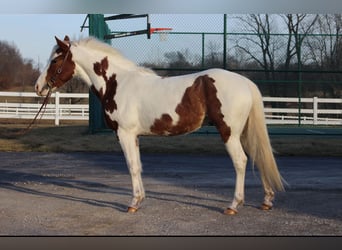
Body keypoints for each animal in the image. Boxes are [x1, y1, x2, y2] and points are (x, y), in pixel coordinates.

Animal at [35, 35, 286, 215]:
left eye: (55, 60)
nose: (39, 87)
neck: (117, 82)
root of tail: (245, 82)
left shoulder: (125, 134)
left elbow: (132, 167)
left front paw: (133, 203)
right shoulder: (134, 136)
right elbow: (138, 166)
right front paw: (139, 199)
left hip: (229, 133)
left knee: (241, 162)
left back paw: (234, 205)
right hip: (243, 133)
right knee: (258, 156)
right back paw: (267, 200)